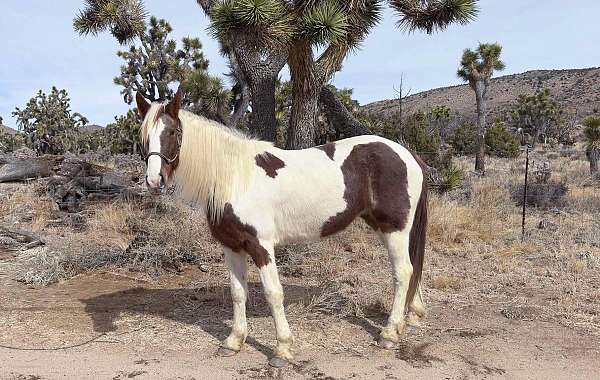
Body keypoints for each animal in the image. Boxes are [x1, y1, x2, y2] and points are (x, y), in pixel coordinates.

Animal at [137, 90, 426, 368]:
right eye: (144, 137)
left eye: (172, 132)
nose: (154, 180)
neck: (236, 178)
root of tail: (408, 155)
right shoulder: (232, 247)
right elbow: (237, 293)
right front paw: (233, 342)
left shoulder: (261, 246)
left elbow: (273, 294)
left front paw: (282, 350)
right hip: (384, 226)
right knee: (411, 270)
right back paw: (409, 319)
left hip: (395, 229)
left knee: (403, 272)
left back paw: (389, 334)